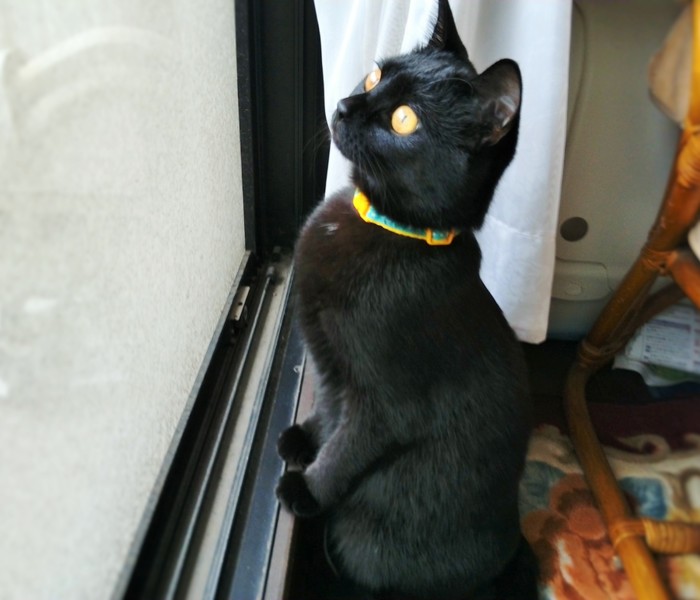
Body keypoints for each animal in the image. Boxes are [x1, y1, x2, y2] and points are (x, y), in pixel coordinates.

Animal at [276, 1, 538, 598]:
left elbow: (348, 448)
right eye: (374, 78)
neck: (383, 225)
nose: (345, 104)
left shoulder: (387, 405)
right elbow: (330, 410)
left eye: (403, 121)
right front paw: (306, 438)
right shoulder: (329, 364)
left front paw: (308, 487)